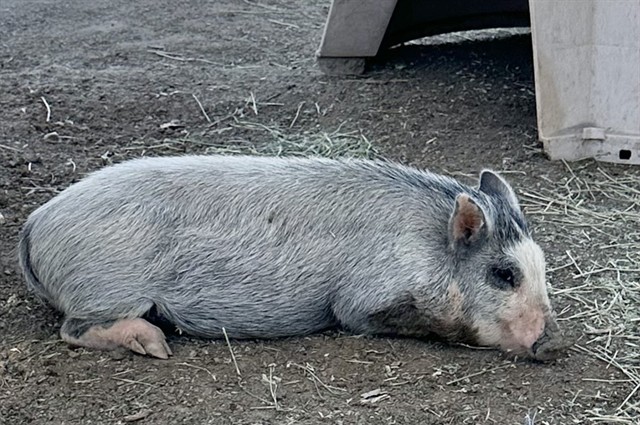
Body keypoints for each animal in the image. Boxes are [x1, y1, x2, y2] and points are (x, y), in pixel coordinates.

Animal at [18, 154, 564, 360]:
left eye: (541, 267)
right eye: (503, 273)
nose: (553, 344)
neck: (427, 245)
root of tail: (34, 223)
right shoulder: (359, 302)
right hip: (106, 290)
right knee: (71, 330)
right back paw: (157, 345)